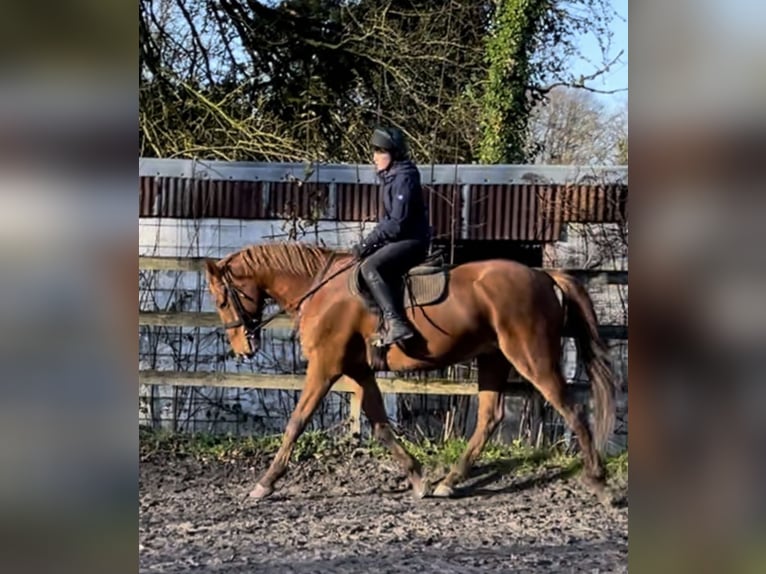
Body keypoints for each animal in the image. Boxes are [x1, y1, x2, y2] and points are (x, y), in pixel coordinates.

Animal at [203, 242, 616, 501]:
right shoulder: (358, 369)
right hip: (494, 358)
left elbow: (297, 421)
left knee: (571, 409)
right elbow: (380, 425)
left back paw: (599, 483)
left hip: (531, 356)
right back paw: (449, 482)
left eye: (222, 299)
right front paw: (417, 477)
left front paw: (265, 484)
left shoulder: (326, 365)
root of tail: (544, 276)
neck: (320, 291)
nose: (242, 349)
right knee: (490, 417)